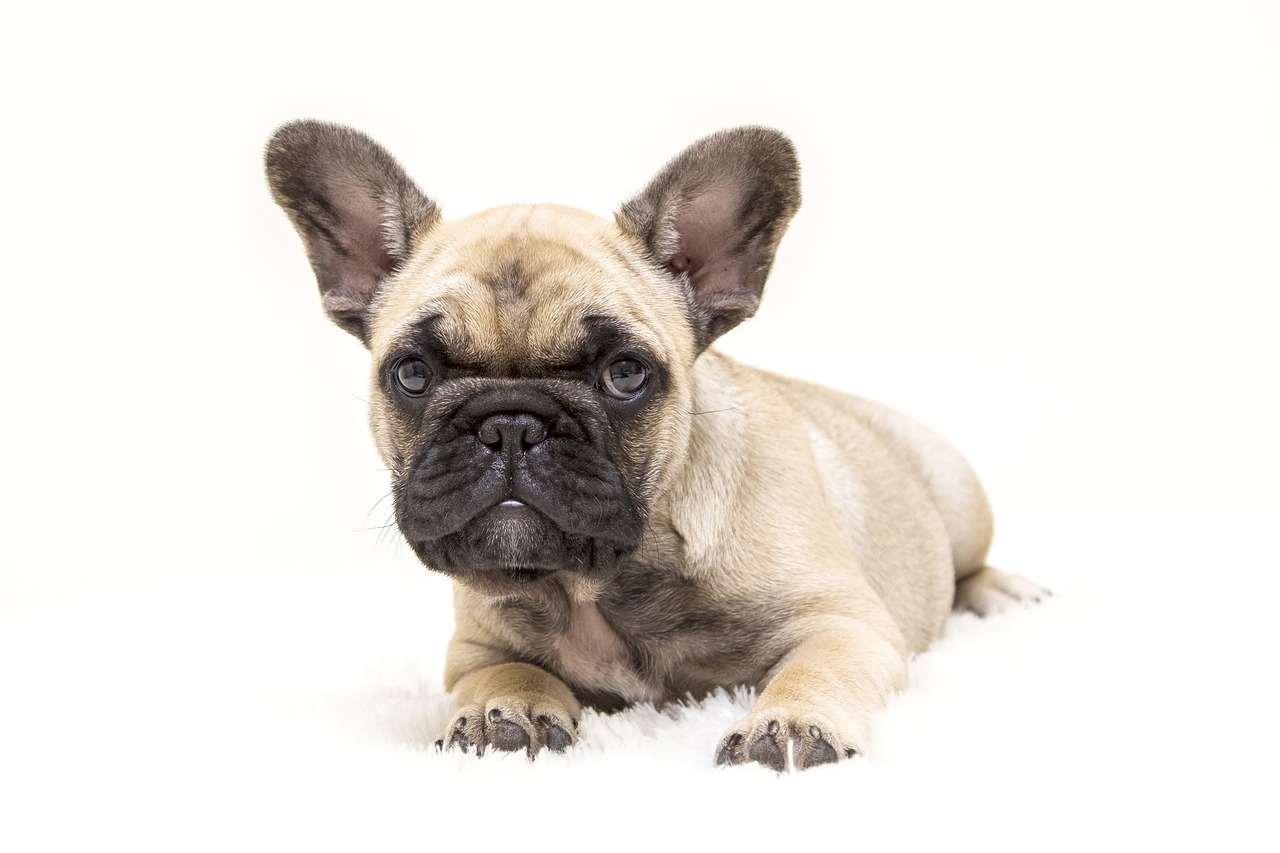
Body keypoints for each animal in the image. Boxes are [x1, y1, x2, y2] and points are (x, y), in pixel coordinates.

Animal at [264, 121, 1044, 768]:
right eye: (412, 373)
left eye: (626, 373)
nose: (510, 425)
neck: (598, 580)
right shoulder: (474, 649)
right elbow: (506, 669)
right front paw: (504, 709)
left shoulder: (845, 624)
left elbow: (815, 667)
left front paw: (790, 722)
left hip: (957, 492)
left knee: (968, 564)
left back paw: (1005, 592)